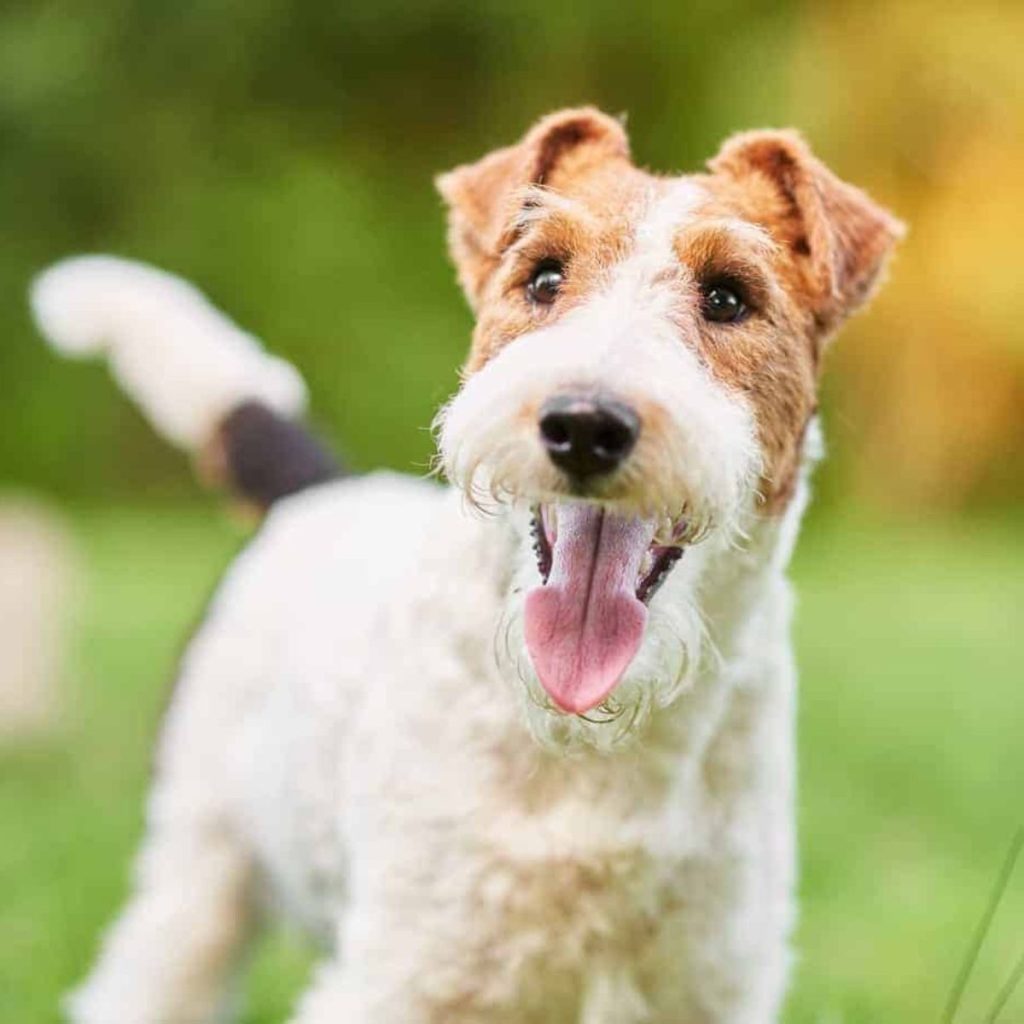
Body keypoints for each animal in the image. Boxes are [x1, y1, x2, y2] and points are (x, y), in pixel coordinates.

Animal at [32, 108, 901, 1019]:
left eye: (729, 296)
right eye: (544, 277)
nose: (584, 424)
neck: (591, 745)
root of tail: (314, 491)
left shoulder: (708, 981)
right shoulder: (403, 975)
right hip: (198, 868)